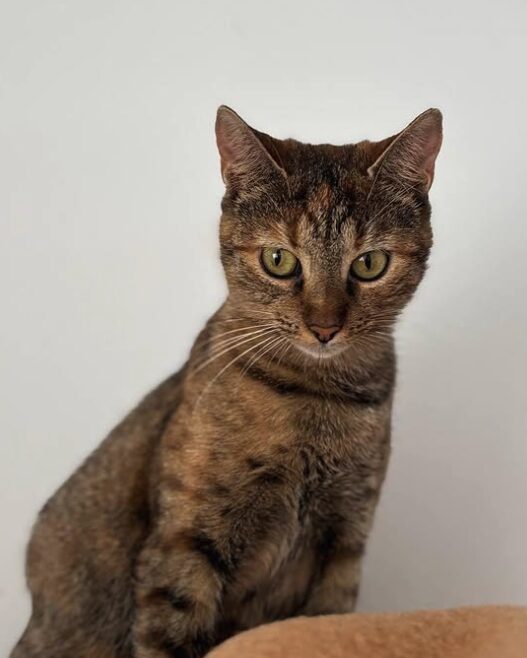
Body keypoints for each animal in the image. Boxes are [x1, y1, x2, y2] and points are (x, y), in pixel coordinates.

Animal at [11, 104, 442, 656]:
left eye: (369, 264)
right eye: (279, 260)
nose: (325, 328)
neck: (316, 399)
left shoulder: (344, 543)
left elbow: (326, 623)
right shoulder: (186, 540)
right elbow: (170, 632)